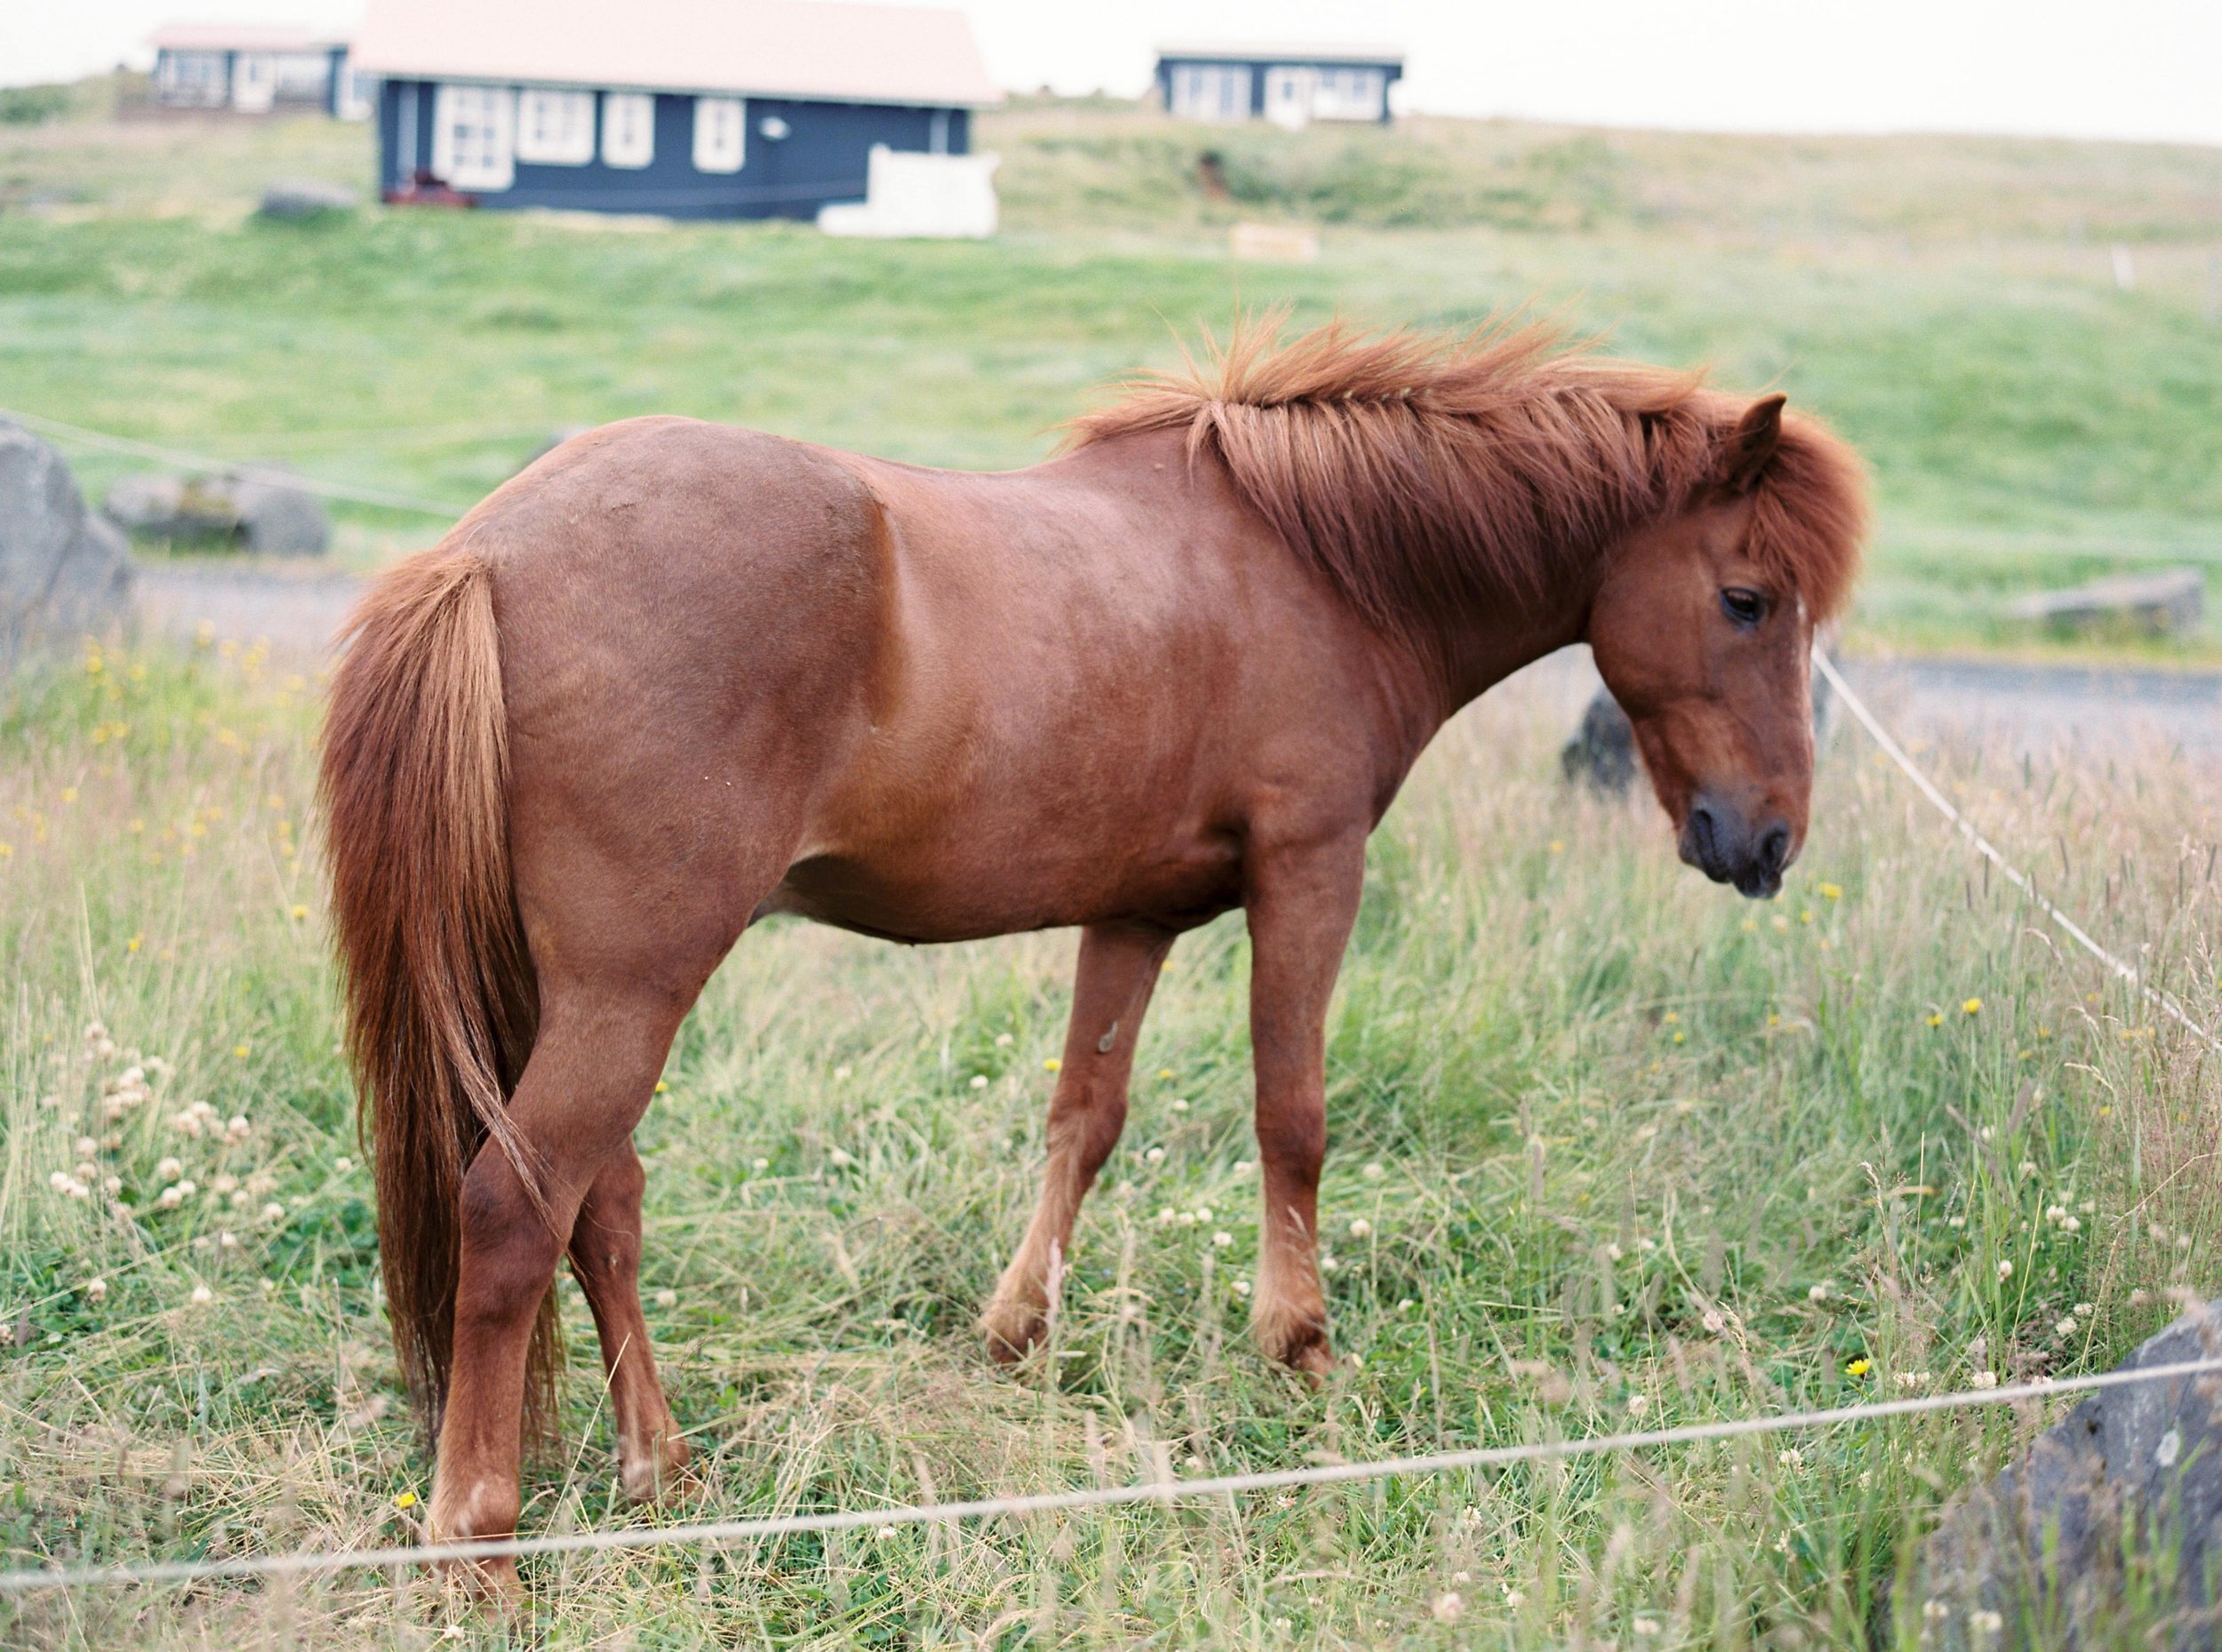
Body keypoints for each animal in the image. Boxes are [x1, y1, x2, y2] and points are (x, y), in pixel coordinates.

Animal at [322, 315, 1866, 1581]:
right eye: (1747, 598)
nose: (1768, 837)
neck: (1312, 561)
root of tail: (485, 551)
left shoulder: (1133, 912)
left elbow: (1086, 1114)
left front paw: (1018, 1331)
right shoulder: (1311, 871)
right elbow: (1292, 1112)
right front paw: (1300, 1349)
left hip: (581, 994)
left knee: (604, 1206)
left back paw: (665, 1466)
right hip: (630, 990)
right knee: (516, 1210)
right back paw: (478, 1544)